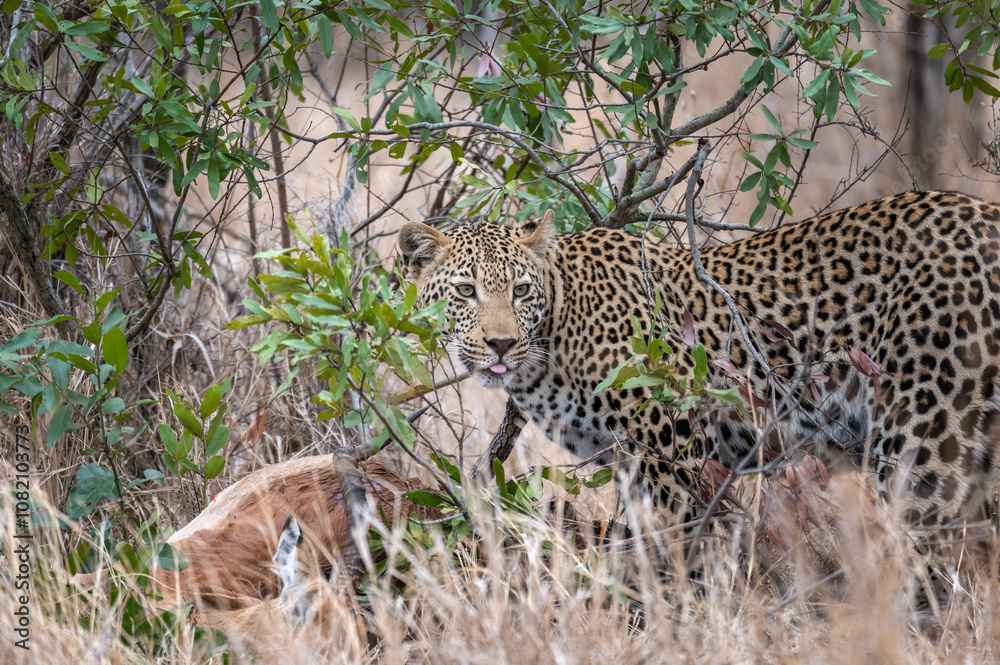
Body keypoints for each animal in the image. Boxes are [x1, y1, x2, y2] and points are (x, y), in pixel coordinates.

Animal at [398, 190, 1000, 539]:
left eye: (520, 291)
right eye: (466, 292)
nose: (500, 344)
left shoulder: (669, 437)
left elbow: (666, 538)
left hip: (926, 440)